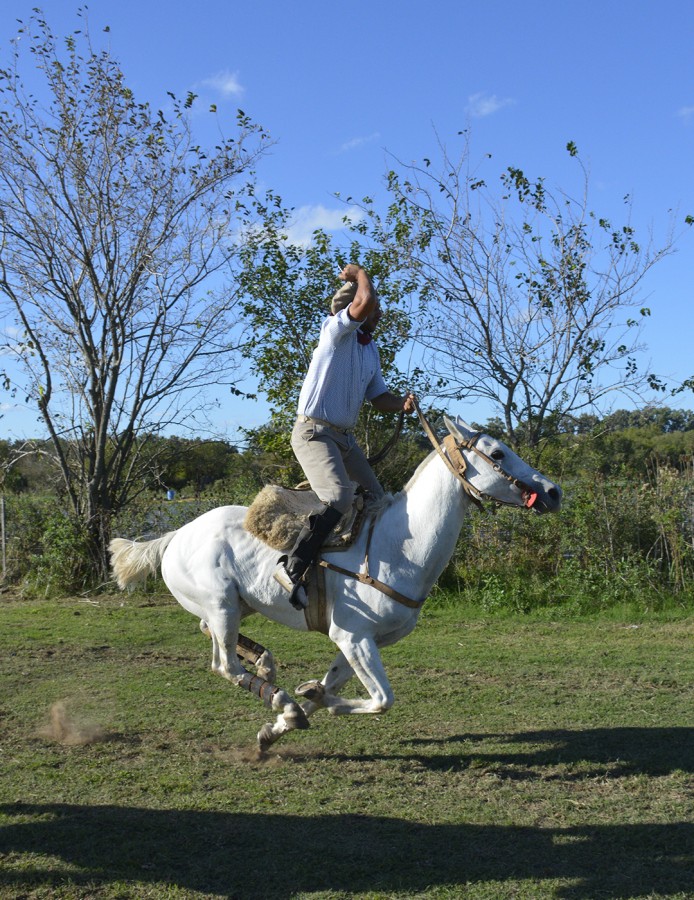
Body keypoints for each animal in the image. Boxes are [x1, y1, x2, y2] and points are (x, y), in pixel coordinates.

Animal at [110, 416, 564, 752]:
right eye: (497, 453)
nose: (553, 491)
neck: (397, 546)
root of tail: (174, 535)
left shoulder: (361, 643)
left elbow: (335, 684)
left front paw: (284, 721)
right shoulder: (353, 636)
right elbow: (381, 700)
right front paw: (305, 702)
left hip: (236, 606)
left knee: (216, 638)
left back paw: (268, 667)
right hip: (223, 605)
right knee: (224, 664)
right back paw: (276, 690)